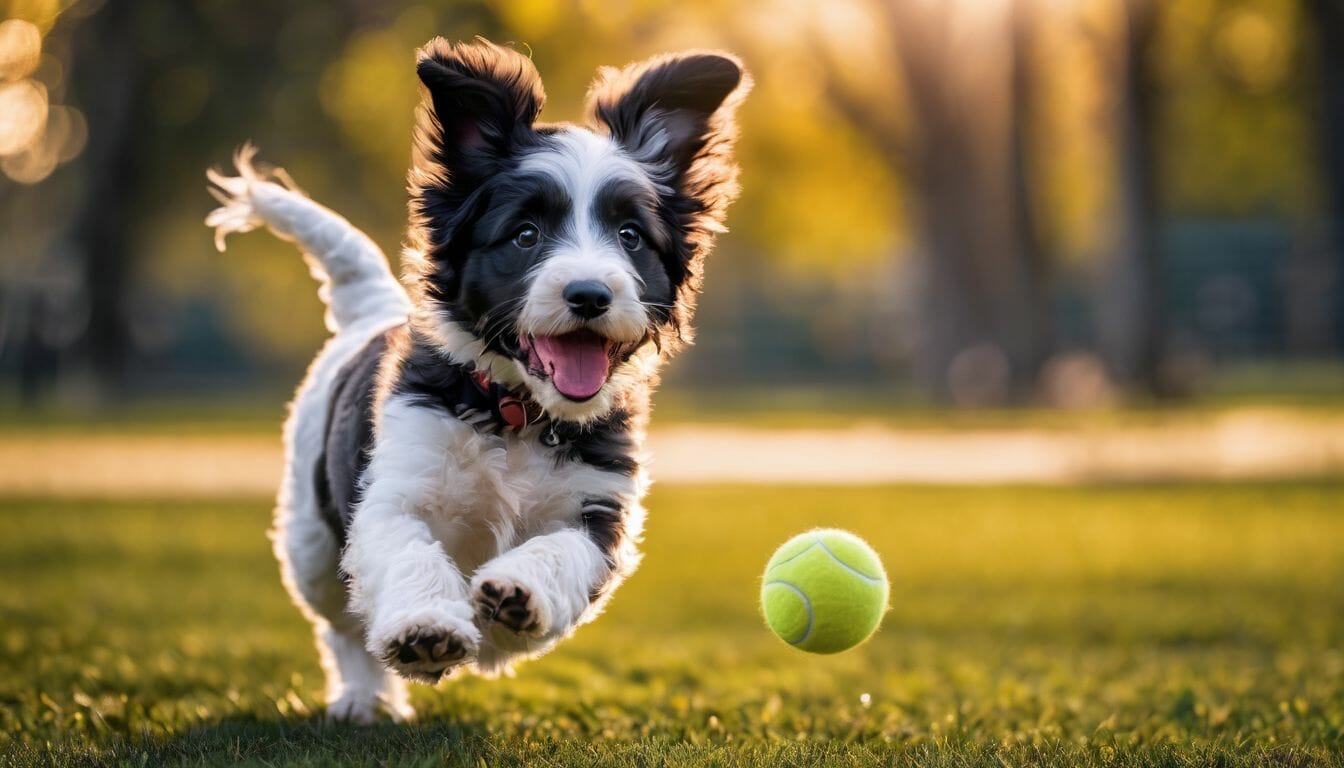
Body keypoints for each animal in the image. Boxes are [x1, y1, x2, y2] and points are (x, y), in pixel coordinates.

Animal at [204, 39, 752, 726]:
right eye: (525, 234)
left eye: (630, 236)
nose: (590, 294)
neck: (517, 412)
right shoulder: (392, 491)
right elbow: (408, 551)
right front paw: (425, 629)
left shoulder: (601, 510)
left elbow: (562, 550)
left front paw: (518, 593)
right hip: (310, 542)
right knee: (342, 621)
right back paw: (363, 696)